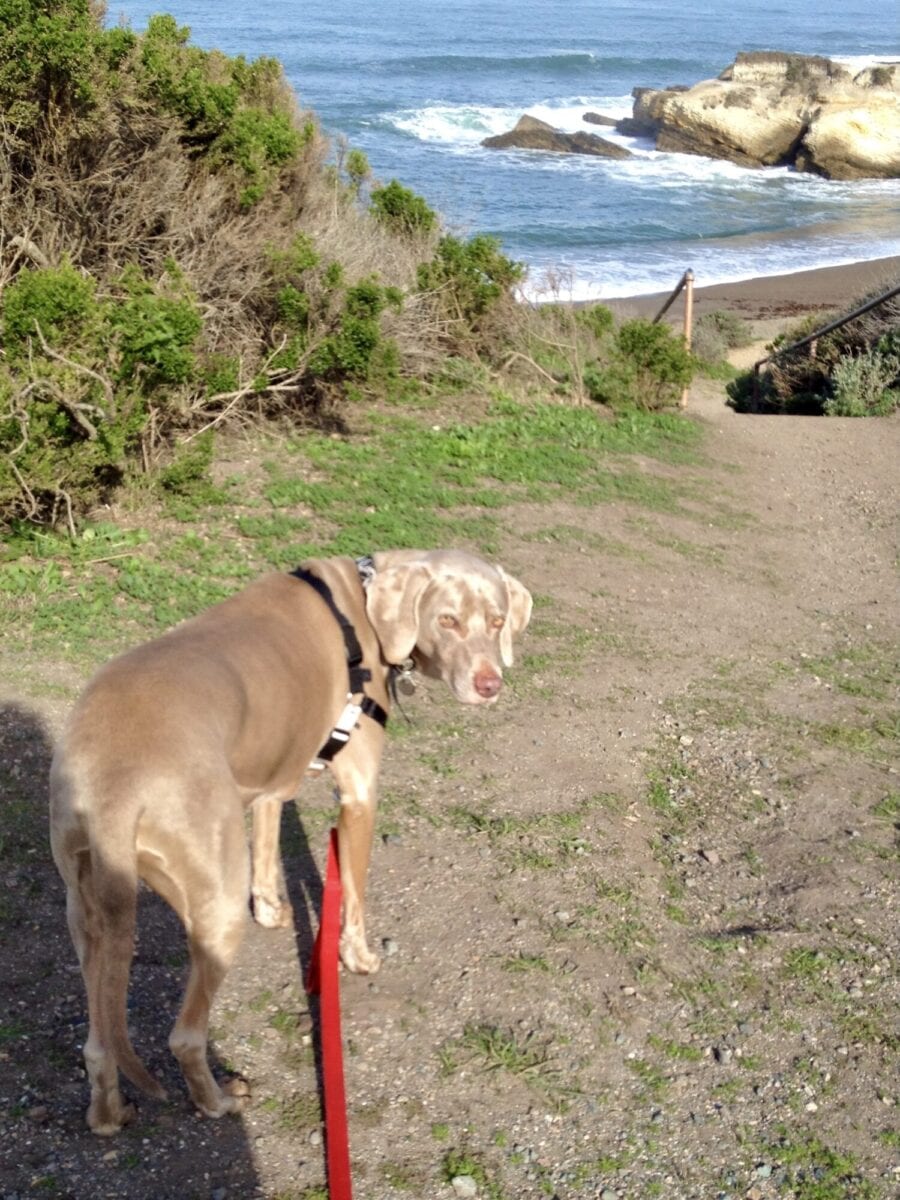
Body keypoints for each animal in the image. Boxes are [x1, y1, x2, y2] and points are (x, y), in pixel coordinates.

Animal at [49, 552, 532, 1132]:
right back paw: (218, 1101)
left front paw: (272, 909)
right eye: (447, 620)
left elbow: (267, 842)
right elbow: (353, 893)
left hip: (85, 908)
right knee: (184, 1036)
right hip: (214, 908)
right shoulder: (359, 792)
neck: (361, 602)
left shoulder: (273, 777)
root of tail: (116, 792)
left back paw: (108, 1114)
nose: (490, 684)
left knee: (97, 1043)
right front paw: (358, 957)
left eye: (498, 621)